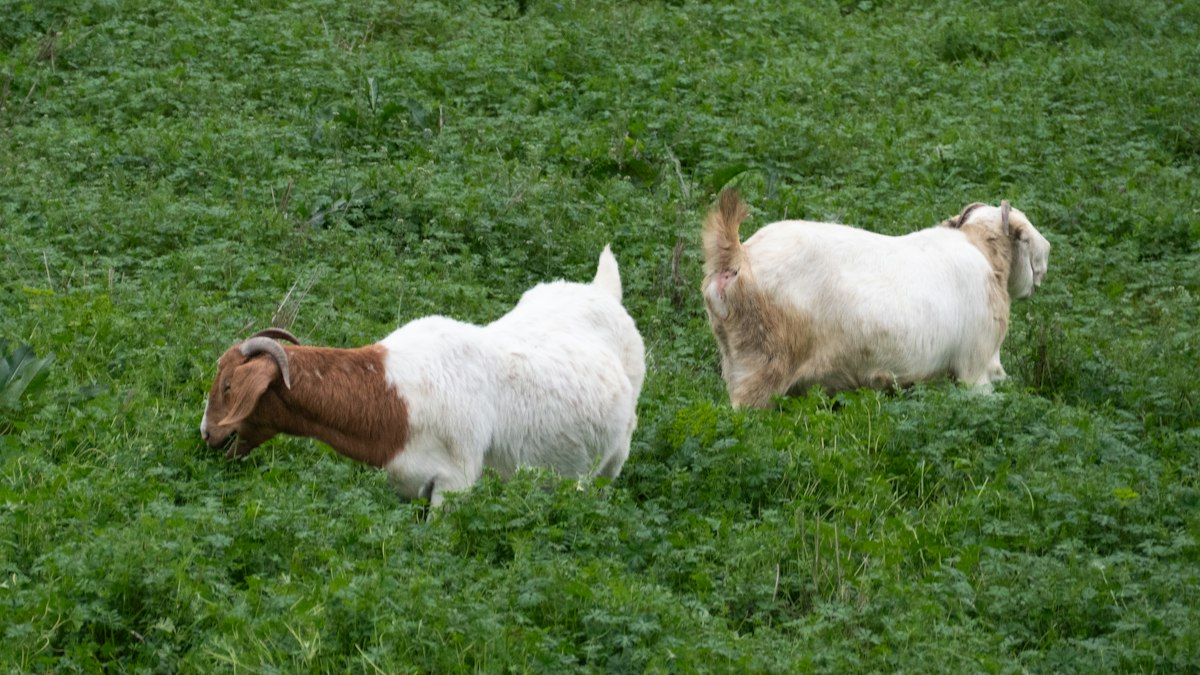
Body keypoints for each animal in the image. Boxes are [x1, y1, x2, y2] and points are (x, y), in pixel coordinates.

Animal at [201, 246, 645, 507]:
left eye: (228, 386)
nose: (207, 433)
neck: (392, 395)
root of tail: (603, 292)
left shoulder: (453, 484)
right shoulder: (407, 483)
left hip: (613, 460)